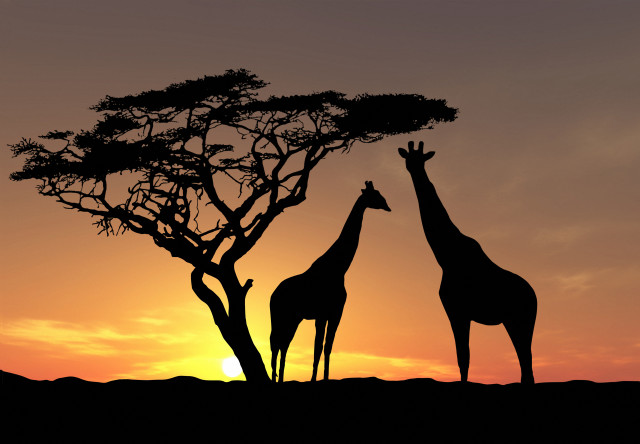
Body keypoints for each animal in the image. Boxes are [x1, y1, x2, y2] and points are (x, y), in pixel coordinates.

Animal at [270, 181, 391, 383]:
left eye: (381, 194)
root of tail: (273, 294)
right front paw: (313, 379)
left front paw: (325, 378)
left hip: (294, 318)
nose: (388, 206)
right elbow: (318, 347)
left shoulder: (335, 312)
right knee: (276, 342)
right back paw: (275, 378)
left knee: (283, 343)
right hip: (280, 315)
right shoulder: (321, 314)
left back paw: (279, 378)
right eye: (375, 195)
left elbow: (328, 347)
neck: (339, 268)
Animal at [399, 141, 537, 384]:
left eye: (421, 159)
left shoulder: (457, 310)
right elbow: (462, 357)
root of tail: (535, 297)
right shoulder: (456, 310)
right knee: (525, 363)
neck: (446, 257)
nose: (414, 170)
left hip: (521, 320)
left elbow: (463, 356)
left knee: (526, 361)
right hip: (514, 321)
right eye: (409, 158)